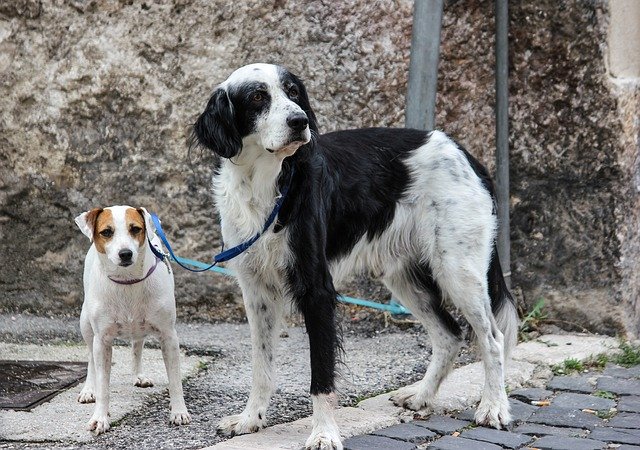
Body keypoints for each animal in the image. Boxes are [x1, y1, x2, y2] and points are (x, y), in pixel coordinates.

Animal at [74, 206, 189, 434]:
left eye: (135, 228)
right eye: (106, 232)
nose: (125, 253)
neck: (127, 281)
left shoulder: (169, 337)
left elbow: (175, 381)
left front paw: (179, 411)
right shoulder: (102, 341)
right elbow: (103, 384)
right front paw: (100, 417)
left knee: (137, 345)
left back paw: (138, 375)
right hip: (86, 324)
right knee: (91, 358)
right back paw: (89, 389)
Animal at [189, 63, 516, 450]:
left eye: (293, 92)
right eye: (257, 97)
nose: (300, 121)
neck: (266, 182)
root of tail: (464, 152)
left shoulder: (317, 290)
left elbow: (321, 374)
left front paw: (323, 433)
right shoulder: (257, 292)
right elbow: (261, 366)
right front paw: (250, 419)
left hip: (458, 270)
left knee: (491, 338)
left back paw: (493, 407)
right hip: (403, 275)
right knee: (450, 335)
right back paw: (421, 396)